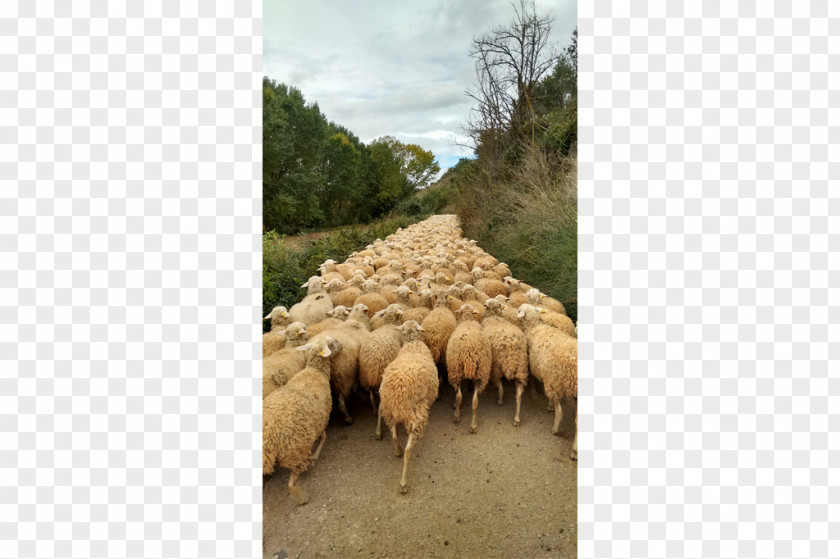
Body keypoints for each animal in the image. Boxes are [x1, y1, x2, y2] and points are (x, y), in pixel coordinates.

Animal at [262, 336, 342, 508]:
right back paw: (303, 499)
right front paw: (314, 458)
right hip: (295, 452)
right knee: (292, 485)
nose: (342, 346)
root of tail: (268, 436)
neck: (315, 371)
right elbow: (323, 437)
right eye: (332, 344)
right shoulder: (322, 418)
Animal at [376, 320, 436, 494]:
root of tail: (398, 393)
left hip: (389, 410)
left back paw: (397, 450)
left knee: (393, 434)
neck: (412, 343)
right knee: (409, 450)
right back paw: (403, 483)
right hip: (416, 416)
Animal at [446, 306, 492, 434]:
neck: (467, 319)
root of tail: (469, 352)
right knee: (475, 402)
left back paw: (456, 416)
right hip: (480, 375)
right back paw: (473, 426)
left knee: (459, 397)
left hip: (455, 372)